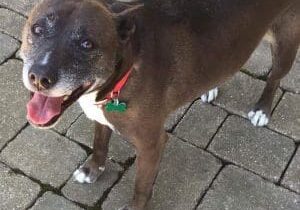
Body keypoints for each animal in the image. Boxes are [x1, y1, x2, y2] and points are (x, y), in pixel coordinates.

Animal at [19, 0, 298, 209]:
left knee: (275, 78)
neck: (128, 66)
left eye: (87, 44)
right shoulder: (102, 115)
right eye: (37, 29)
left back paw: (262, 109)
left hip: (286, 44)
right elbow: (100, 143)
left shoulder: (151, 145)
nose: (39, 78)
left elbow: (141, 188)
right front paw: (92, 169)